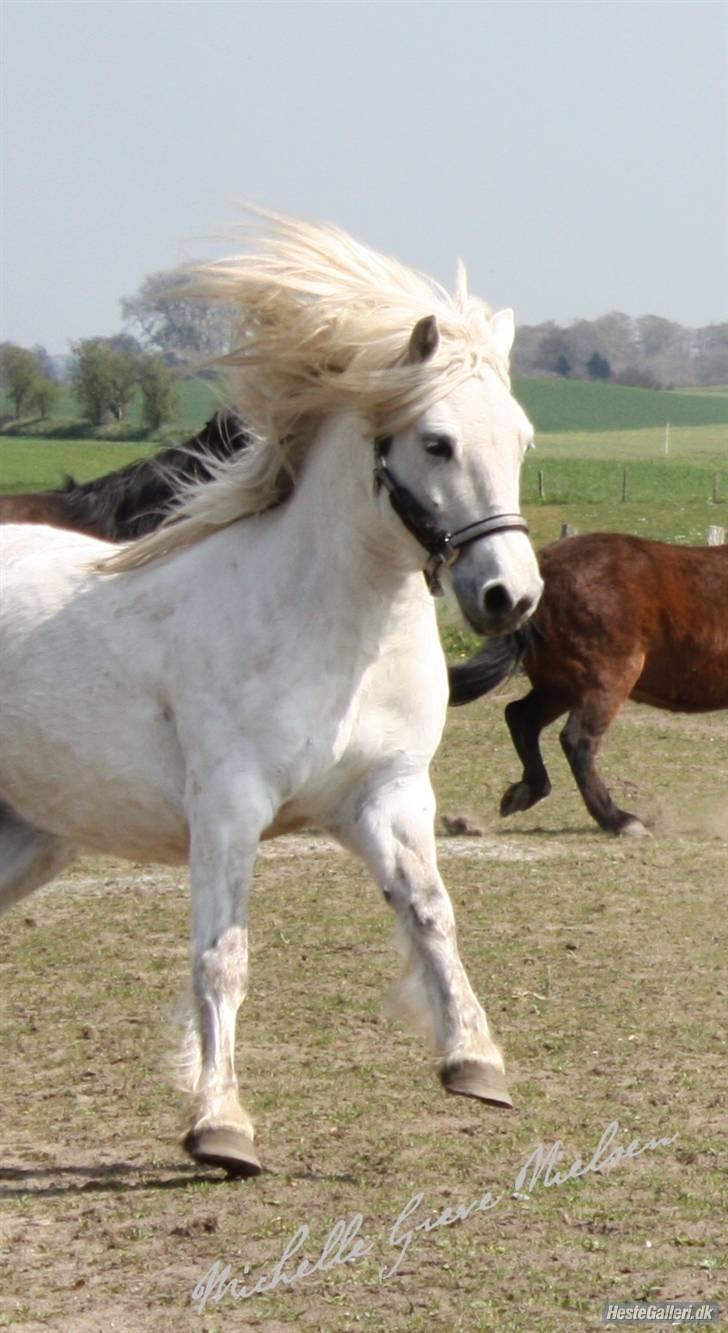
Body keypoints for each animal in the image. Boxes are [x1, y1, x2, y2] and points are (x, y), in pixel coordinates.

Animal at [449, 531, 728, 836]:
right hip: (605, 680)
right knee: (577, 741)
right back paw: (619, 820)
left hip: (559, 685)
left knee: (520, 716)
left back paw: (524, 793)